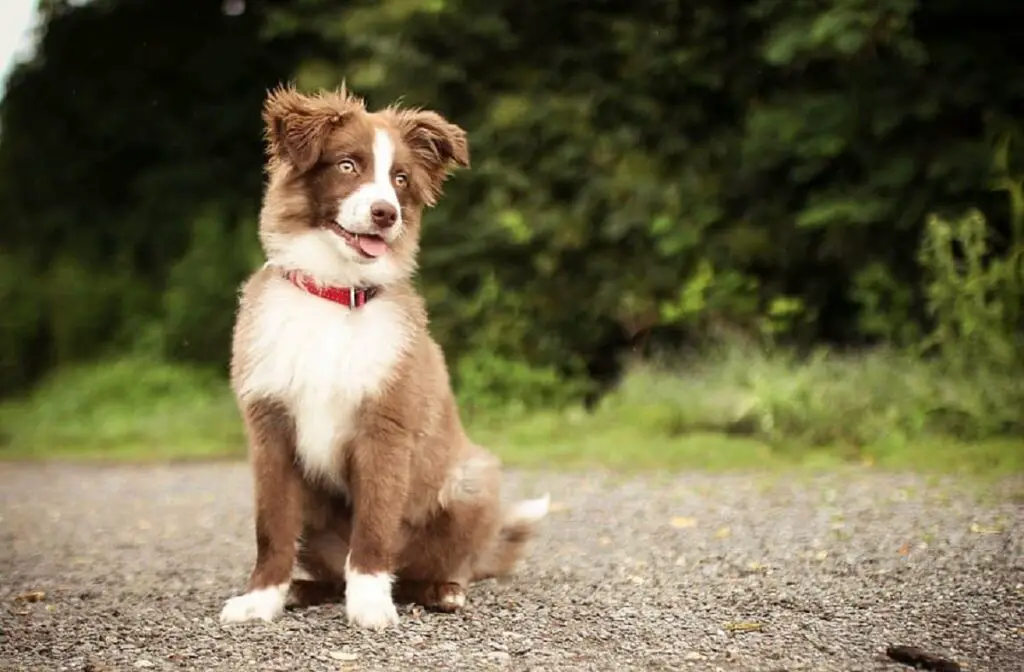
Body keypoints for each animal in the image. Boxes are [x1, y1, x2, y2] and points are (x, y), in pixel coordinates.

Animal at [219, 85, 548, 631]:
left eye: (400, 180)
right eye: (347, 165)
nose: (385, 214)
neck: (335, 292)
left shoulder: (385, 429)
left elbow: (373, 528)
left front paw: (371, 604)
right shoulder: (270, 429)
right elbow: (272, 527)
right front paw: (261, 598)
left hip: (473, 480)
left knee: (433, 566)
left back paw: (442, 592)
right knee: (334, 574)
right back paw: (303, 590)